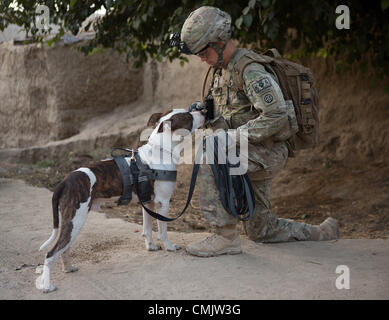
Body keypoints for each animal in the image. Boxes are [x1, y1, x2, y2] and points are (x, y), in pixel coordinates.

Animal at [36, 109, 205, 292]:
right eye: (188, 116)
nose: (202, 110)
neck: (161, 150)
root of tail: (65, 181)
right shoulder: (163, 203)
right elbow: (163, 231)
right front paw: (170, 247)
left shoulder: (148, 202)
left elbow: (147, 228)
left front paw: (151, 246)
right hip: (76, 219)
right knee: (51, 253)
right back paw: (47, 285)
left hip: (72, 222)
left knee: (64, 248)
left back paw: (68, 268)